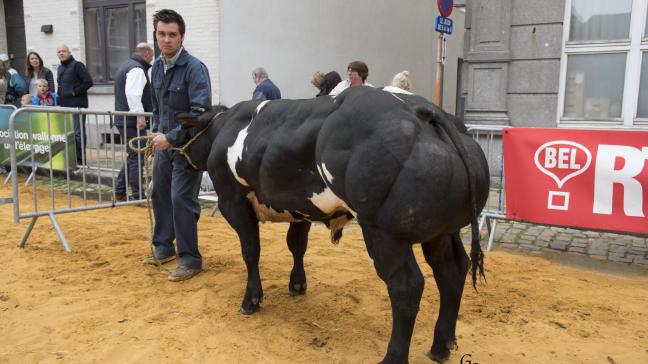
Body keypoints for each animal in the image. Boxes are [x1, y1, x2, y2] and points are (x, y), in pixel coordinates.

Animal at [175, 86, 488, 362]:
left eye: (186, 131)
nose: (173, 153)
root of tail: (420, 109)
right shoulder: (301, 207)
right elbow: (296, 245)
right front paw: (297, 284)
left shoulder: (232, 200)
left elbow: (251, 251)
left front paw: (251, 300)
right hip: (442, 231)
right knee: (452, 270)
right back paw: (441, 345)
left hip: (384, 233)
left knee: (406, 286)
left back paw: (393, 357)